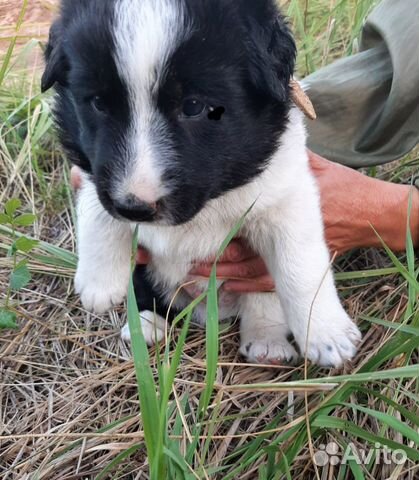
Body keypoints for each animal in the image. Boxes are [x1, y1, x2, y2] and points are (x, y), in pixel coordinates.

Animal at [44, 0, 362, 368]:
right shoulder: (92, 168)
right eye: (97, 103)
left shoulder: (285, 195)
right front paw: (98, 281)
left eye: (194, 106)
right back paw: (147, 324)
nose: (135, 208)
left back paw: (266, 341)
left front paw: (326, 331)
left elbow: (300, 264)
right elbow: (95, 206)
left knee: (263, 299)